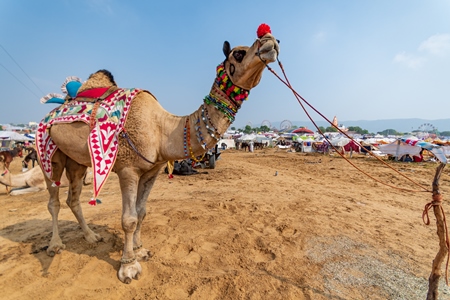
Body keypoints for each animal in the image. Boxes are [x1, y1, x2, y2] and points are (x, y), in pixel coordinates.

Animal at [37, 24, 280, 284]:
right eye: (238, 53)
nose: (270, 41)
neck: (162, 129)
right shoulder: (128, 169)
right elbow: (129, 219)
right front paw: (128, 267)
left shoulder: (152, 170)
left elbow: (142, 212)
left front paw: (140, 250)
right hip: (47, 153)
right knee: (53, 200)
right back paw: (55, 245)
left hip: (76, 161)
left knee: (73, 198)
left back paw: (92, 236)